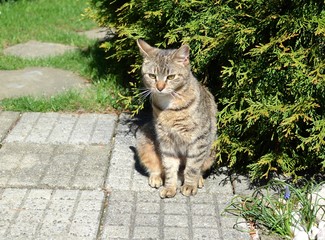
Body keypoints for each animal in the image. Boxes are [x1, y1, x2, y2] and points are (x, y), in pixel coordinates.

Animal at [135, 38, 216, 198]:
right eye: (152, 76)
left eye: (171, 77)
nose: (159, 87)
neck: (169, 107)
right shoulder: (166, 141)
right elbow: (169, 167)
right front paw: (170, 188)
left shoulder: (199, 140)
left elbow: (192, 167)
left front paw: (190, 185)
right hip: (142, 139)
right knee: (156, 168)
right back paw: (156, 178)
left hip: (212, 150)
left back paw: (197, 179)